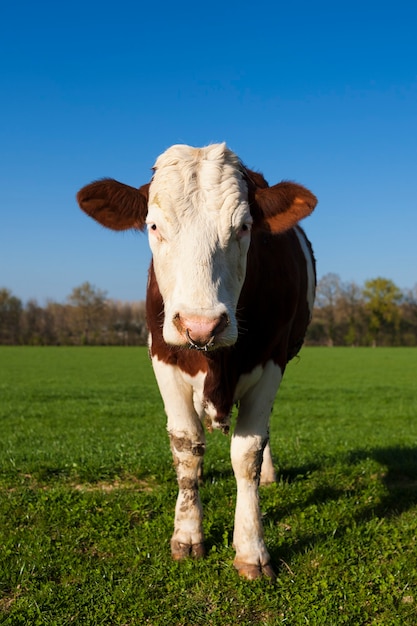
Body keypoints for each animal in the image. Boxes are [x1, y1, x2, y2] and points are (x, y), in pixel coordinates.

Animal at [77, 143, 316, 580]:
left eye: (244, 227)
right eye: (154, 226)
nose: (201, 325)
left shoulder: (273, 361)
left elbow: (248, 453)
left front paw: (251, 548)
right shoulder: (163, 355)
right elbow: (187, 445)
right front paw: (187, 535)